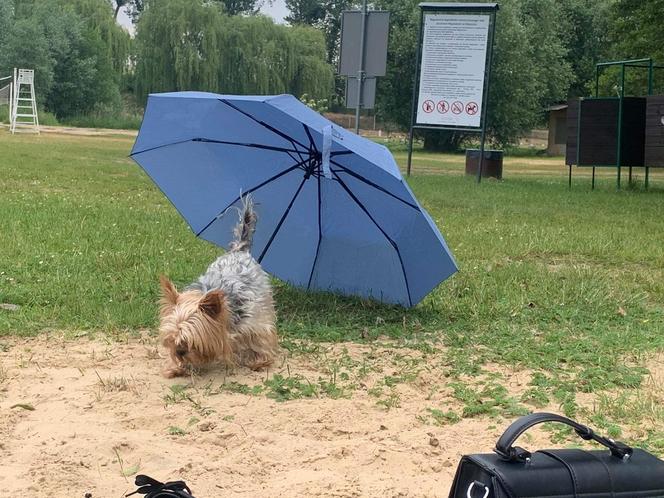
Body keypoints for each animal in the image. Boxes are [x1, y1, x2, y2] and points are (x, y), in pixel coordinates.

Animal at [158, 198, 278, 378]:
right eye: (172, 339)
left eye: (190, 340)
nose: (179, 352)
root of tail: (239, 249)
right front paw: (176, 366)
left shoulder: (252, 320)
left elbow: (259, 337)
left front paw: (259, 361)